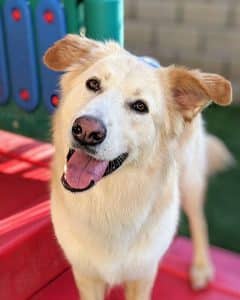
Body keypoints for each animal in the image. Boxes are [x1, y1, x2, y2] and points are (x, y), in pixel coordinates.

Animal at [44, 35, 233, 300]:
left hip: (190, 181)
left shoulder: (142, 275)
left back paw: (201, 267)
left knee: (199, 221)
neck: (107, 201)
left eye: (140, 107)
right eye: (93, 84)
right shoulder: (85, 274)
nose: (87, 131)